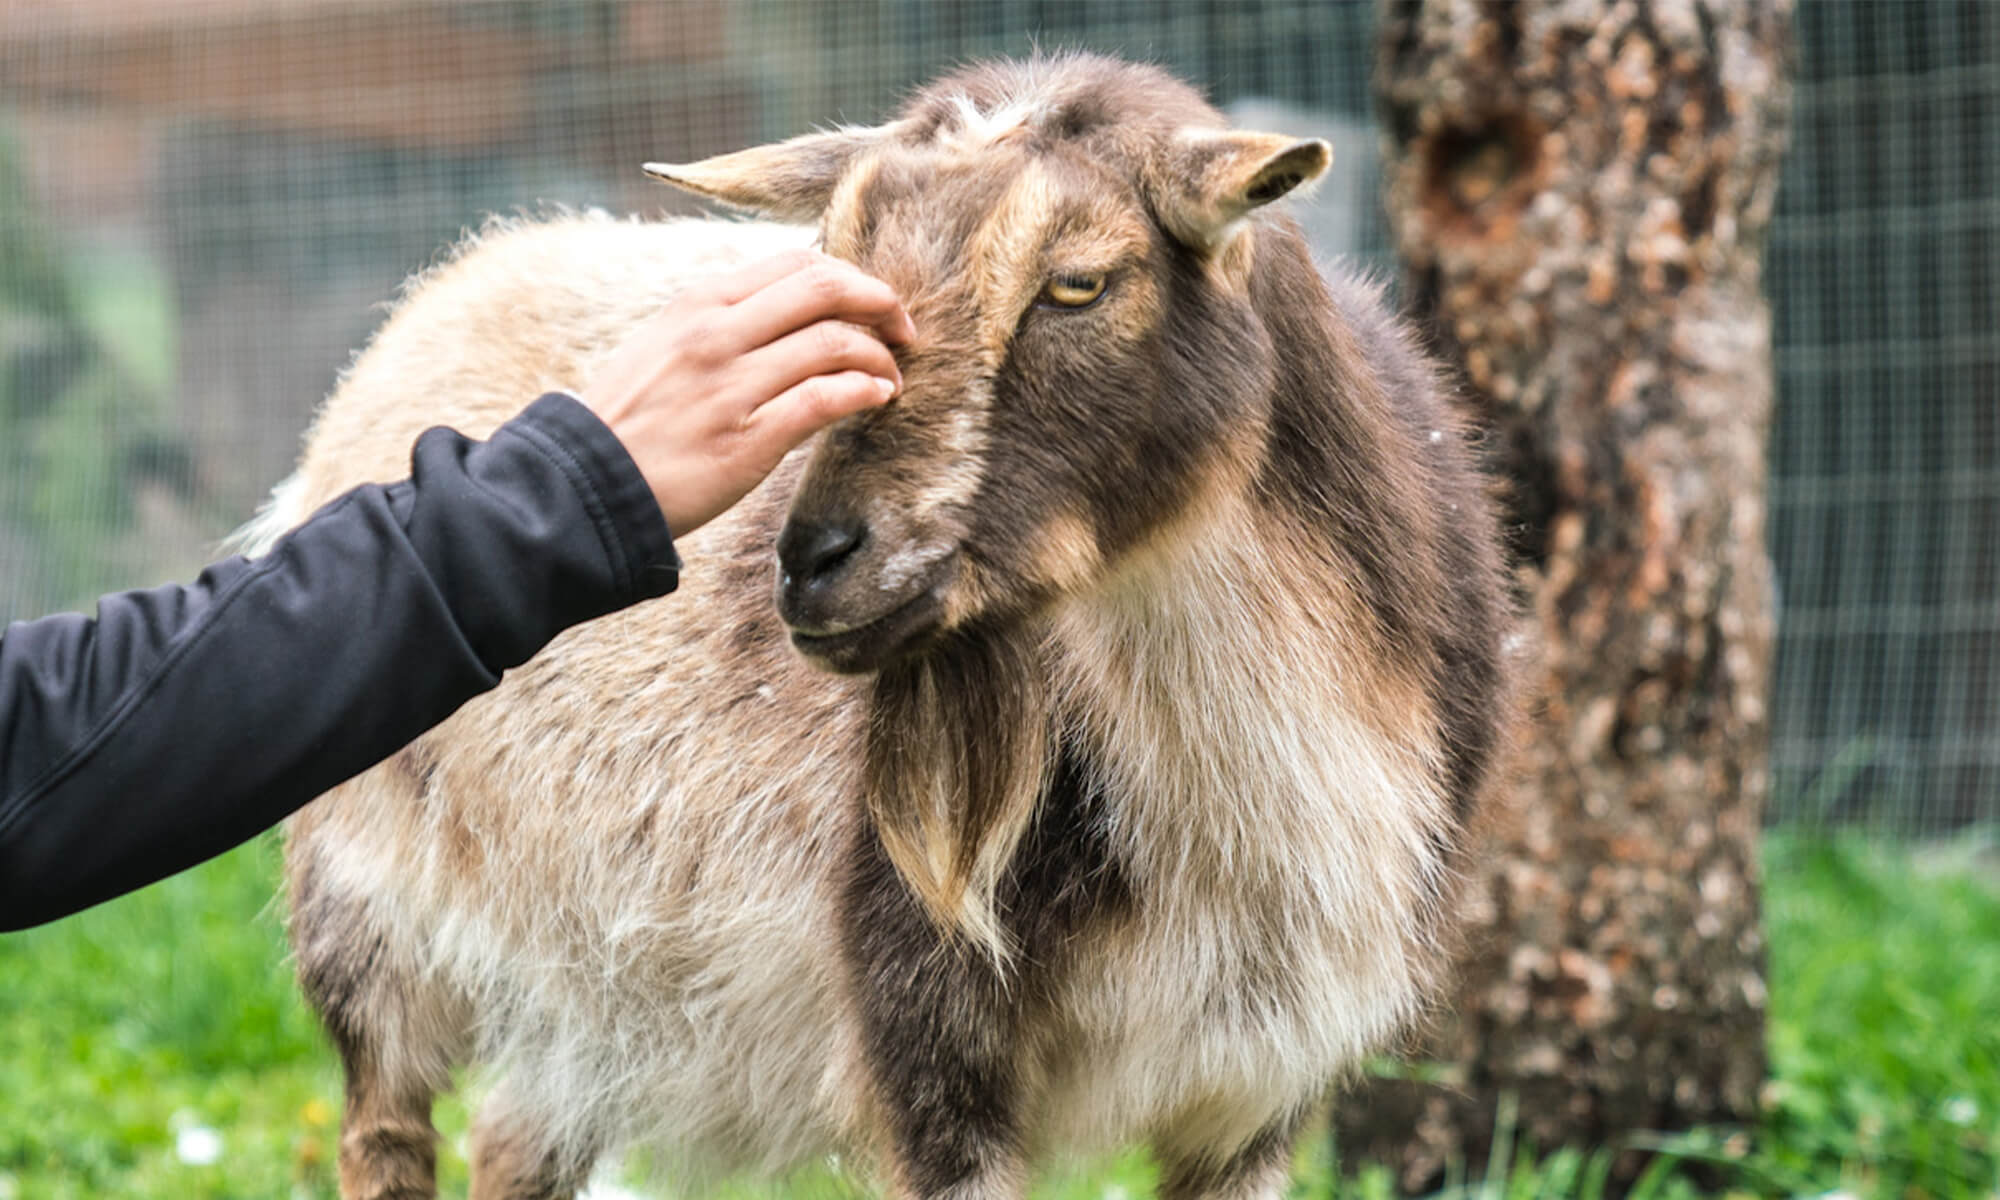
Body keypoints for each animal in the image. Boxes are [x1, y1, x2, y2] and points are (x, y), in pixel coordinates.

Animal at [267, 54, 1512, 1200]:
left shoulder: (1261, 1082)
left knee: (514, 1137)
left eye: (1078, 282)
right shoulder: (923, 1030)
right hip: (364, 908)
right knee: (386, 1124)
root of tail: (479, 262)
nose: (815, 560)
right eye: (832, 284)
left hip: (580, 991)